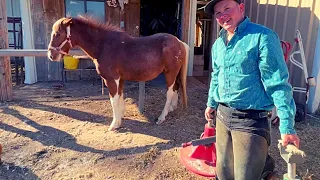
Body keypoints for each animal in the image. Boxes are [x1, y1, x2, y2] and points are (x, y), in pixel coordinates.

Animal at [47, 16, 188, 130]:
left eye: (58, 34)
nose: (51, 55)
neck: (103, 46)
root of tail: (179, 42)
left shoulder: (111, 79)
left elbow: (113, 100)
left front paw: (114, 124)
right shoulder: (119, 79)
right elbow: (119, 97)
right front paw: (120, 118)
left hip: (170, 73)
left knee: (169, 92)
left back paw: (161, 117)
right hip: (173, 74)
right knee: (176, 88)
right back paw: (172, 108)